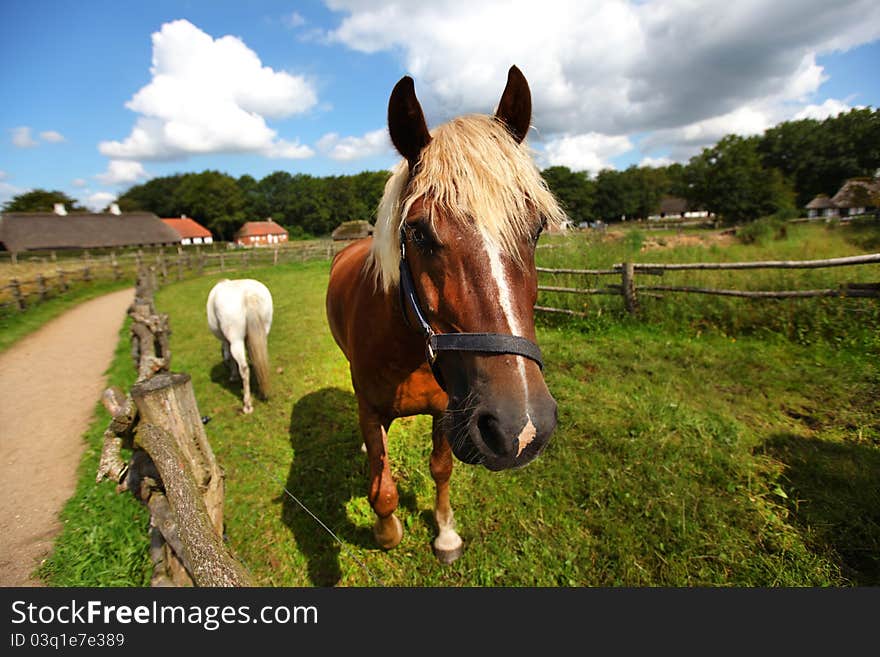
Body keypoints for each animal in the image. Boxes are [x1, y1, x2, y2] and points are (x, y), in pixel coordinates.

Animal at [208, 278, 274, 412]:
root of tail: (248, 295)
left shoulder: (227, 341)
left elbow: (230, 357)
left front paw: (233, 376)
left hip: (236, 340)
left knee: (244, 368)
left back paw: (247, 405)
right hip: (263, 333)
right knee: (261, 358)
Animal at [326, 65, 568, 560]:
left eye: (535, 228)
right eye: (417, 232)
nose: (522, 428)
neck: (407, 349)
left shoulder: (448, 410)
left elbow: (440, 468)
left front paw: (445, 532)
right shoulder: (372, 410)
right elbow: (383, 489)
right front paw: (387, 532)